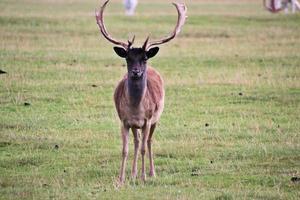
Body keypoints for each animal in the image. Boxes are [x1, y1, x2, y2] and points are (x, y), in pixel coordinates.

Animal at [96, 0, 186, 184]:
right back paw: (133, 173)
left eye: (144, 58)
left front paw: (144, 177)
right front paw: (121, 178)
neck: (136, 108)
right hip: (135, 125)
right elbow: (125, 149)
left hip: (155, 119)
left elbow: (144, 147)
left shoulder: (147, 119)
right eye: (127, 58)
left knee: (149, 141)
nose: (136, 71)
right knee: (137, 142)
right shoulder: (124, 121)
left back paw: (151, 173)